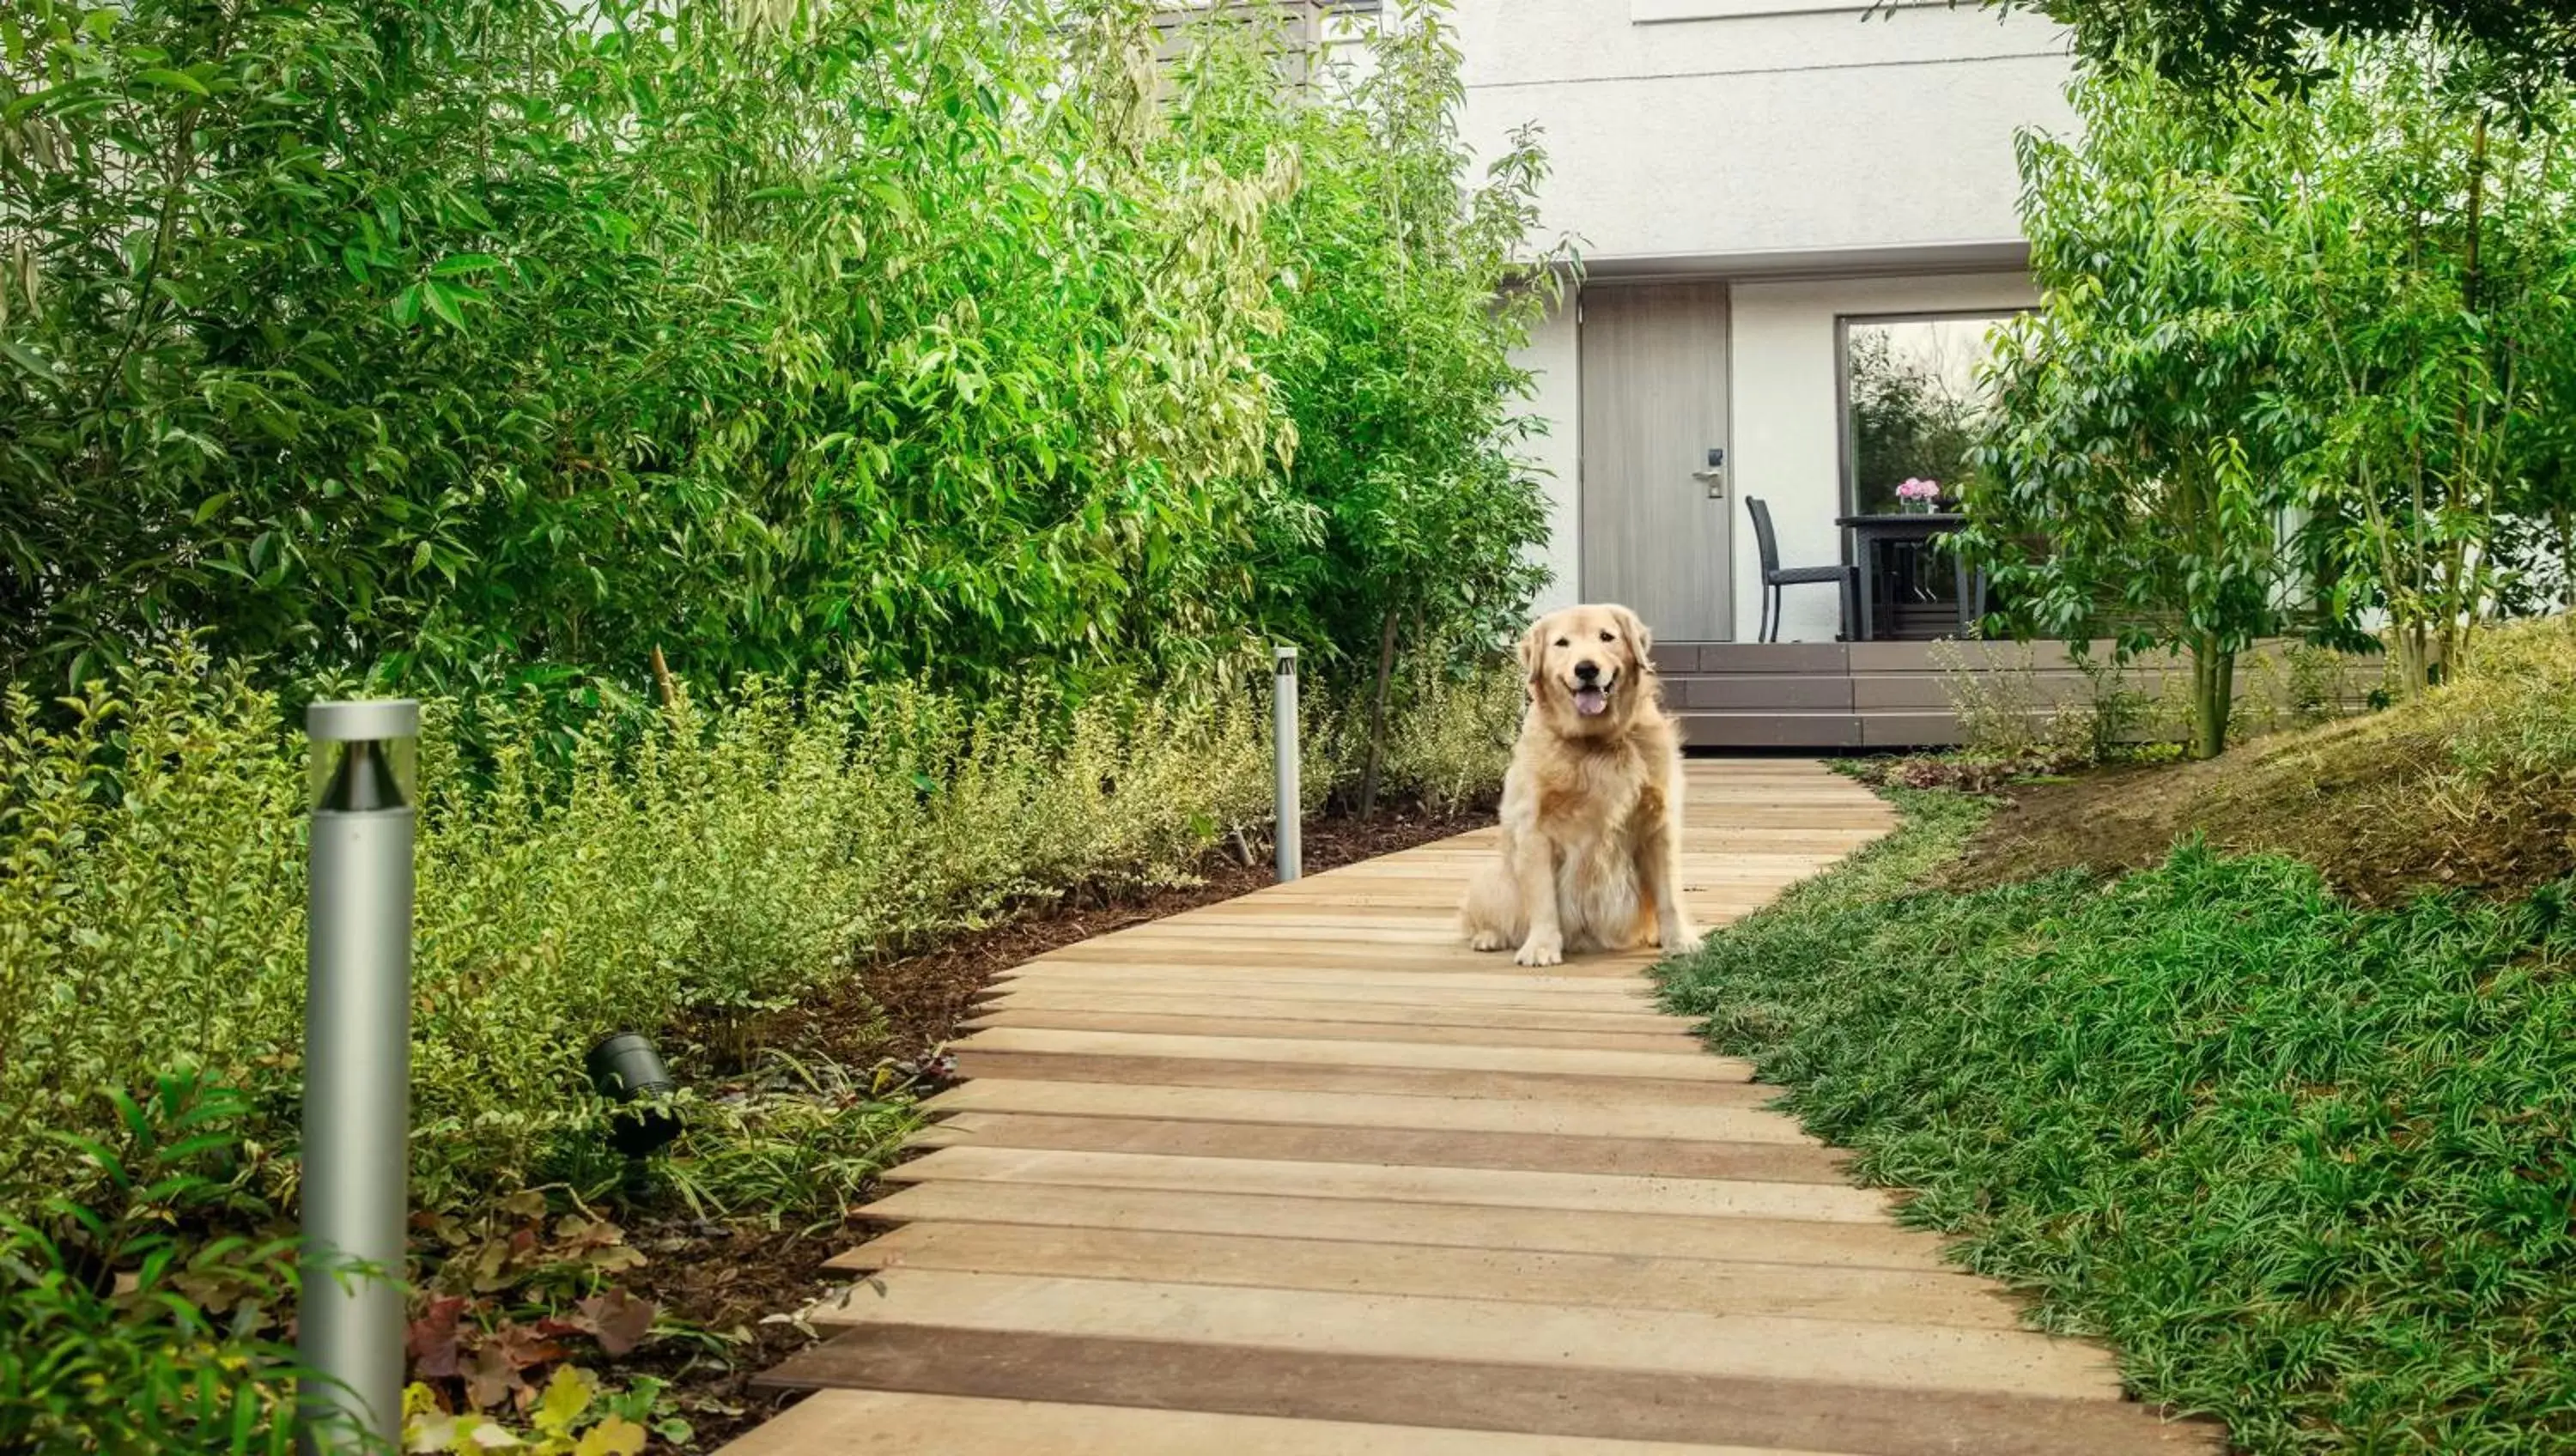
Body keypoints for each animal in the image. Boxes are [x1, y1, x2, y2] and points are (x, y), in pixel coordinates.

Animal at [1463, 603, 1700, 963]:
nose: (1586, 669)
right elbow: (1543, 899)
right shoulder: (1534, 830)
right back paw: (1488, 937)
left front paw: (1680, 939)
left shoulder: (1659, 824)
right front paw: (1541, 946)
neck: (1595, 744)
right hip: (1491, 877)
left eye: (1607, 637)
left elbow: (1669, 893)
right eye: (1562, 643)